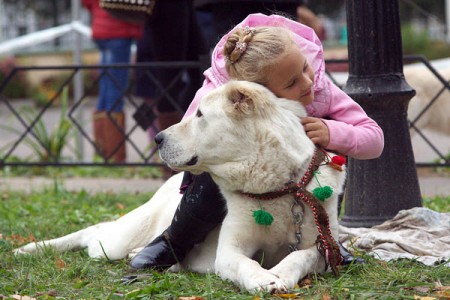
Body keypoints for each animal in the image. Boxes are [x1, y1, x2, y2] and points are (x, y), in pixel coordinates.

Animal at [14, 81, 344, 294]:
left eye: (200, 115)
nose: (157, 138)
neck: (277, 188)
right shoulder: (229, 251)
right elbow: (245, 264)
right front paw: (263, 280)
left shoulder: (325, 248)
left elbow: (300, 256)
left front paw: (280, 273)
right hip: (115, 241)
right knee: (96, 232)